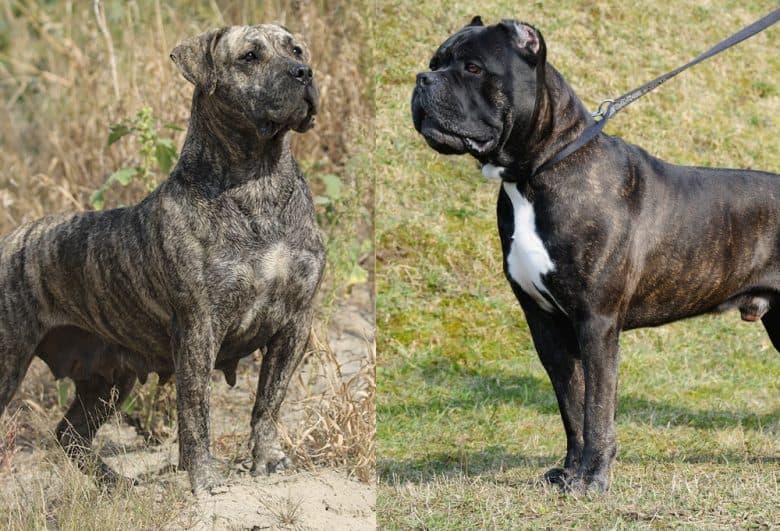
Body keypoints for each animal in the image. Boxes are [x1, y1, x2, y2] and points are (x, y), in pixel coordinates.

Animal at [412, 15, 776, 490]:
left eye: (472, 67)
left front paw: (593, 479)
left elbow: (597, 408)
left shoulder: (596, 322)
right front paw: (569, 472)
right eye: (436, 62)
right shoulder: (547, 325)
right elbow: (572, 404)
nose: (422, 79)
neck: (537, 173)